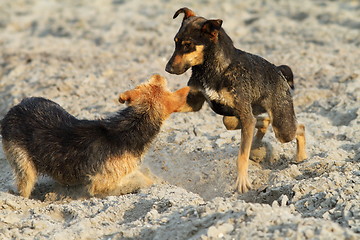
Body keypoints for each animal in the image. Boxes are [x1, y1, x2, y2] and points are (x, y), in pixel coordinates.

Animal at [0, 74, 191, 198]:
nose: (159, 75)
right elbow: (136, 182)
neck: (134, 124)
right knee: (25, 185)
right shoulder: (100, 183)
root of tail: (16, 106)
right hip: (23, 164)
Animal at [166, 7, 306, 193]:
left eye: (188, 45)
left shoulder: (245, 115)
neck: (215, 68)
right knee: (258, 121)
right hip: (242, 116)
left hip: (282, 127)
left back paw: (301, 158)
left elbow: (241, 156)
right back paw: (258, 142)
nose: (167, 69)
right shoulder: (195, 102)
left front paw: (242, 182)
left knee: (299, 128)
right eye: (175, 42)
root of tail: (278, 69)